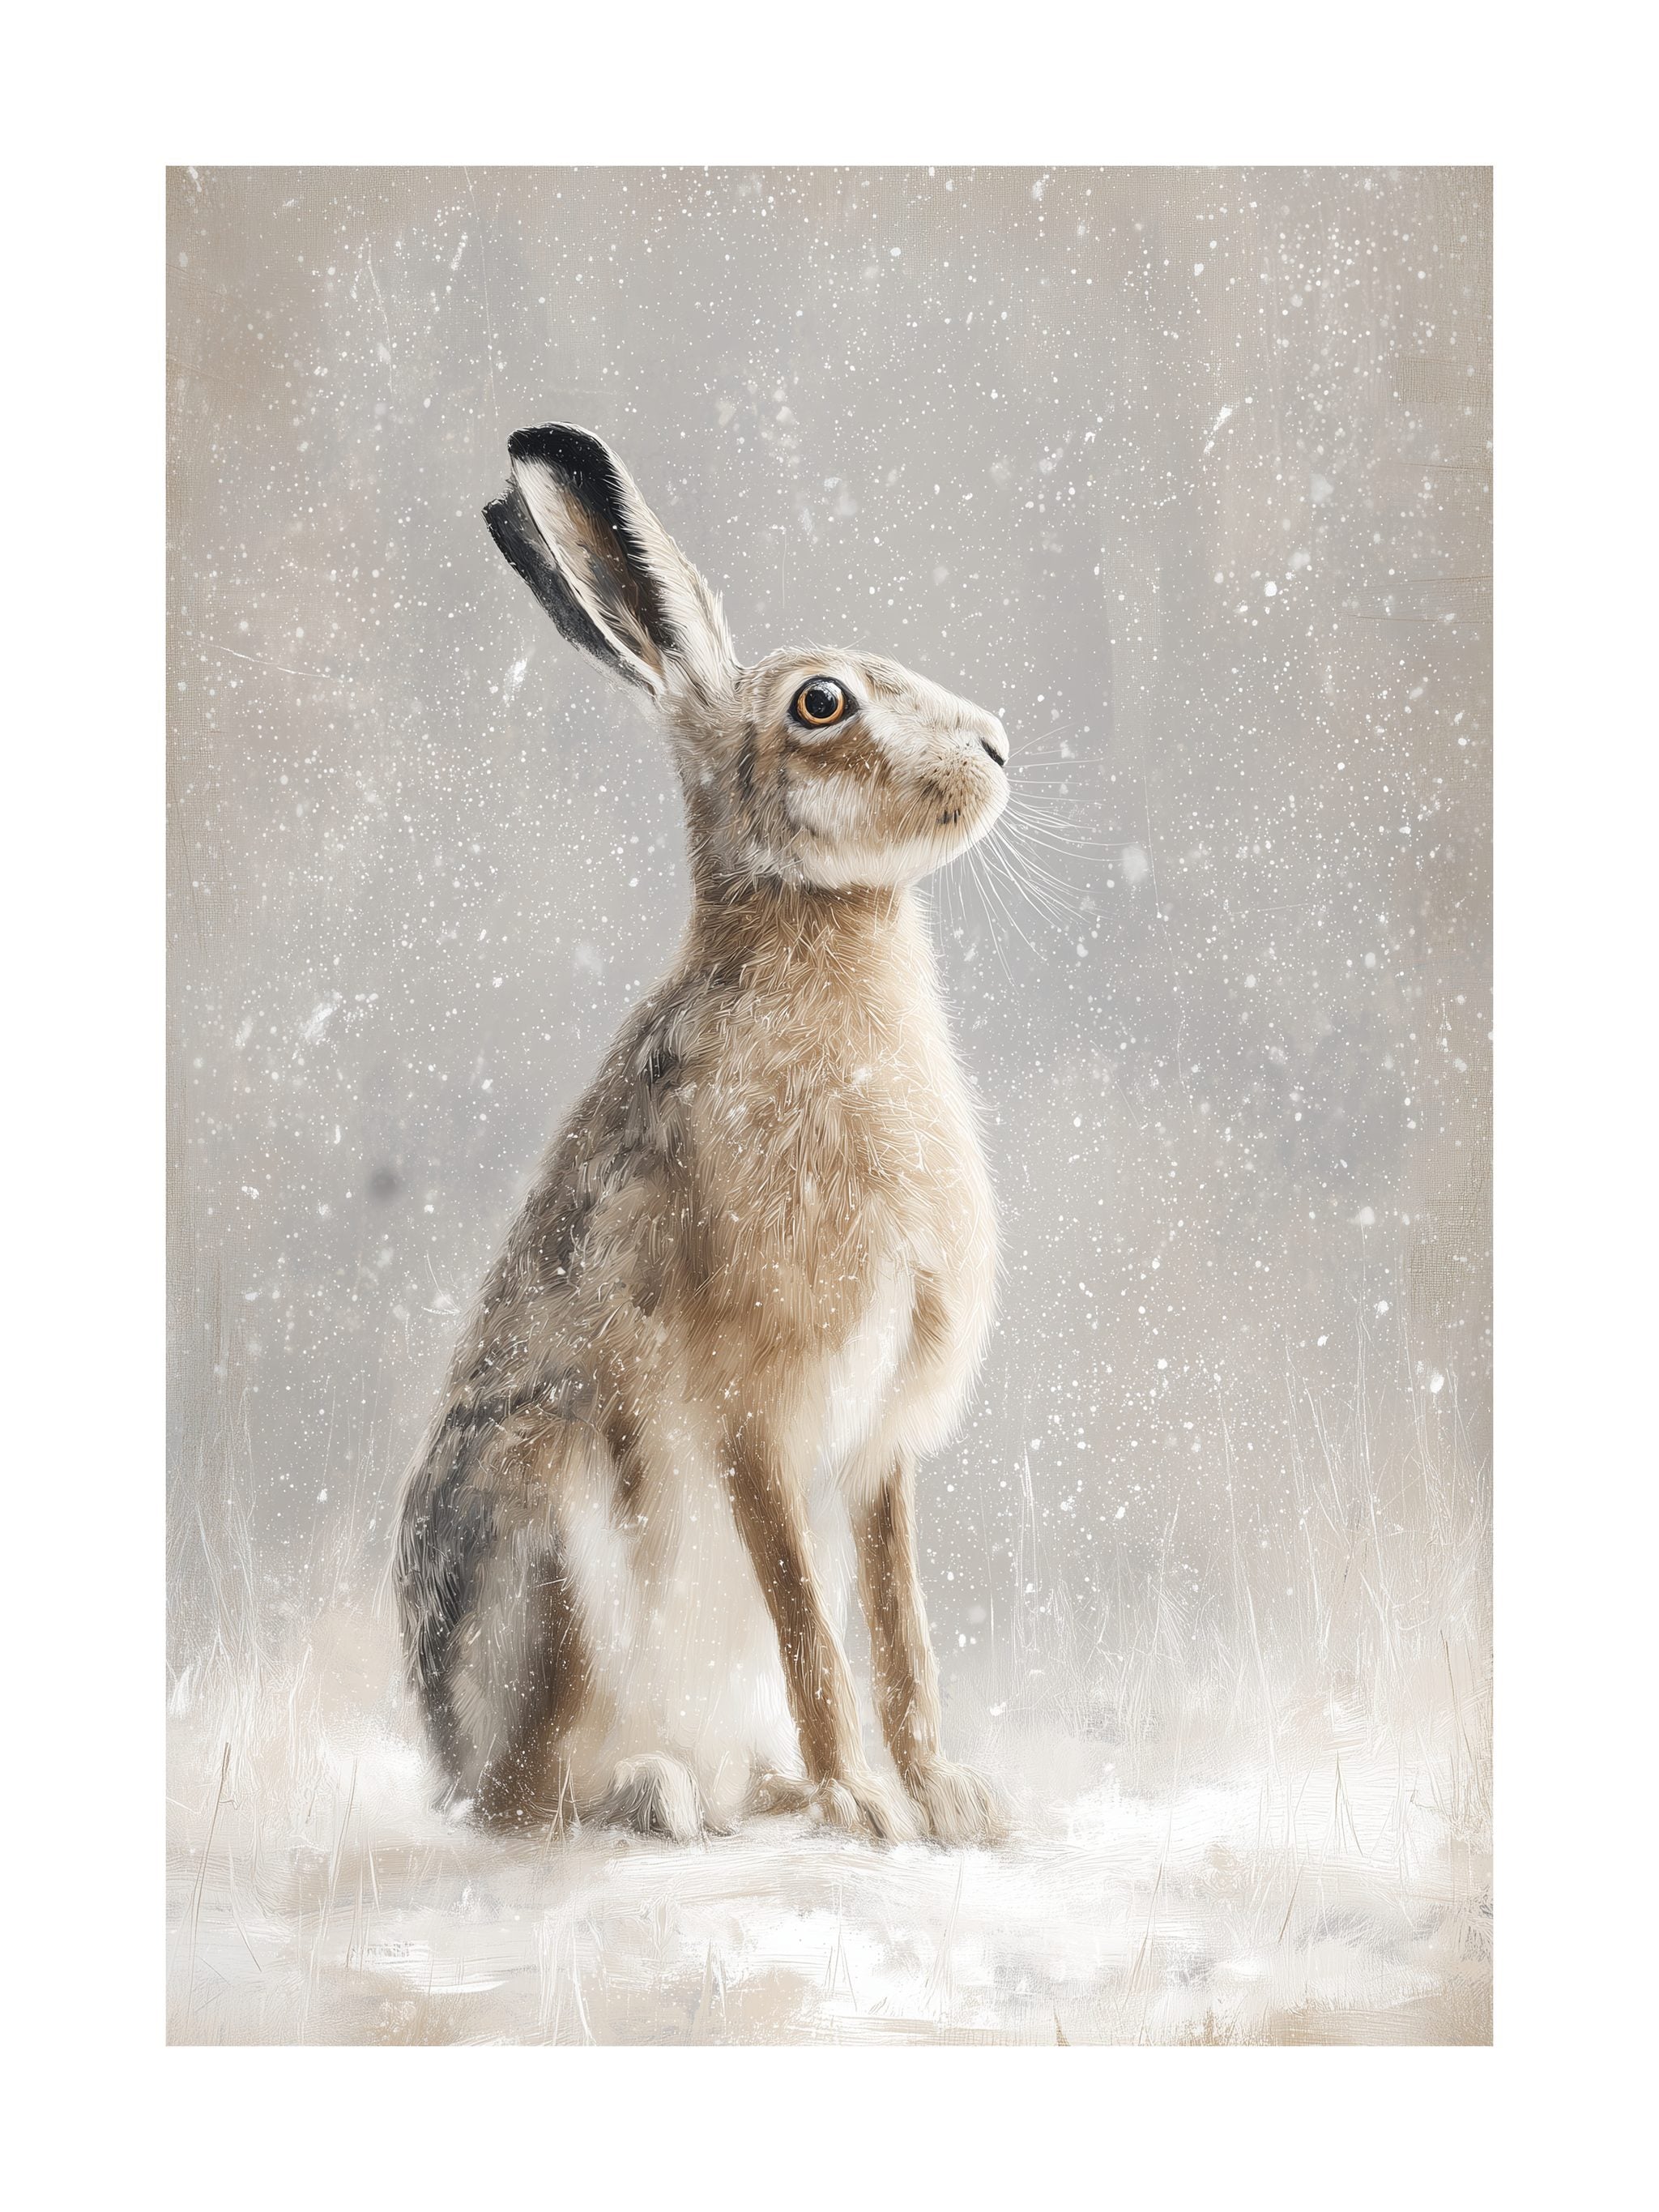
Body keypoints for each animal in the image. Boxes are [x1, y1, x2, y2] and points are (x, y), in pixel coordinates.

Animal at [394, 423, 1012, 1846]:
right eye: (823, 704)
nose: (1000, 745)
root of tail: (441, 1750)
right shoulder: (755, 1414)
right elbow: (811, 1627)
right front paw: (864, 1808)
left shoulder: (881, 1449)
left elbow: (900, 1630)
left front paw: (950, 1800)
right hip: (549, 1538)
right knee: (522, 1799)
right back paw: (659, 1793)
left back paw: (758, 1789)